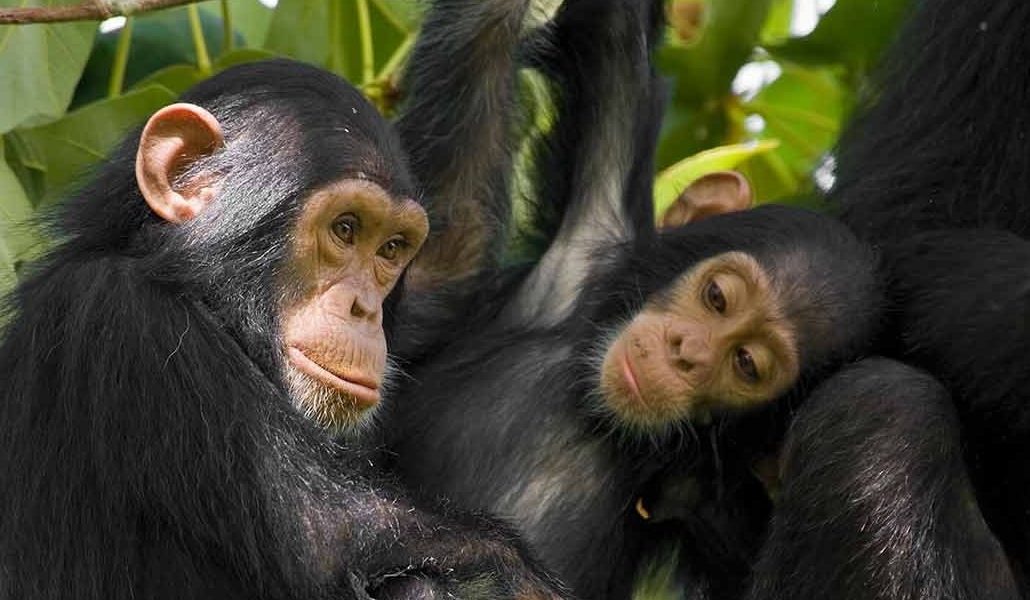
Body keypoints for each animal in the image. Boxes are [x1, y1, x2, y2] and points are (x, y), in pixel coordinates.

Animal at [0, 57, 572, 600]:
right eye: (345, 228)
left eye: (391, 248)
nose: (365, 309)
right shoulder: (128, 323)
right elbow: (325, 536)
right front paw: (520, 577)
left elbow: (454, 262)